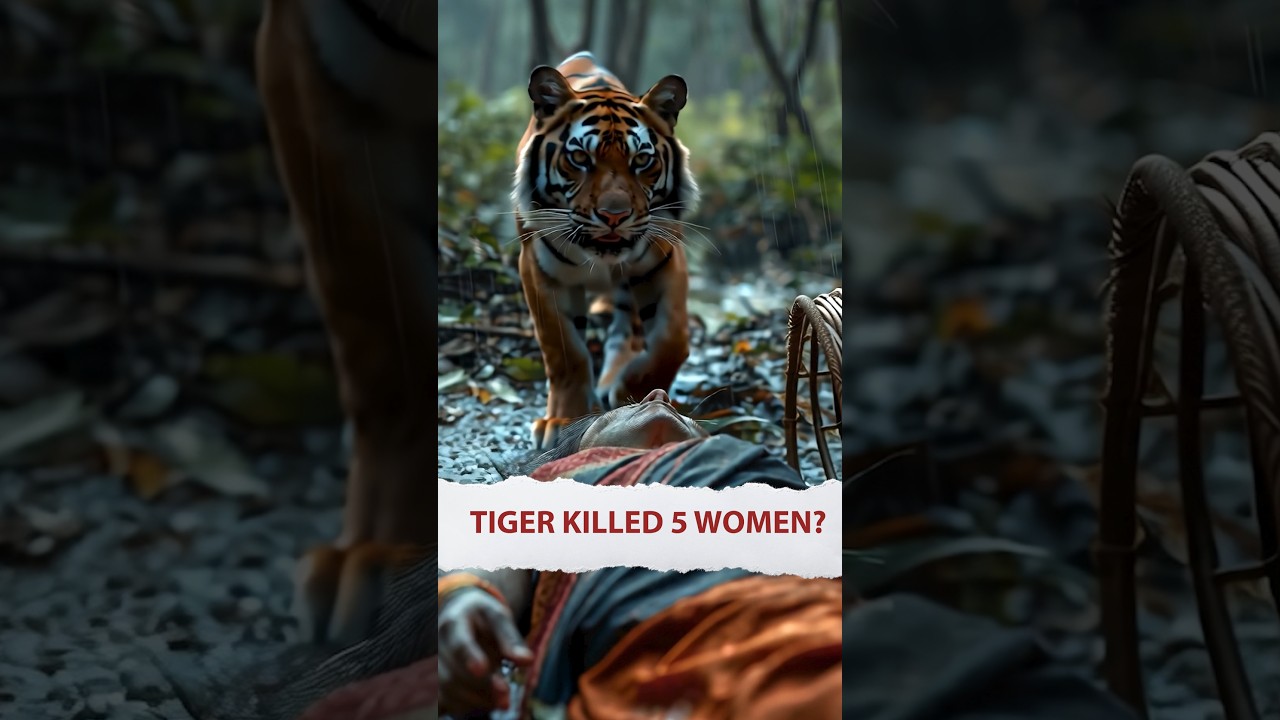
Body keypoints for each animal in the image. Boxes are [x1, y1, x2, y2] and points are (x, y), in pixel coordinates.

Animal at [514, 51, 700, 450]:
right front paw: (562, 420)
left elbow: (671, 340)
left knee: (628, 330)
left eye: (642, 161)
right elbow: (565, 352)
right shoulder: (540, 271)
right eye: (580, 158)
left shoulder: (664, 259)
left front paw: (633, 390)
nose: (614, 215)